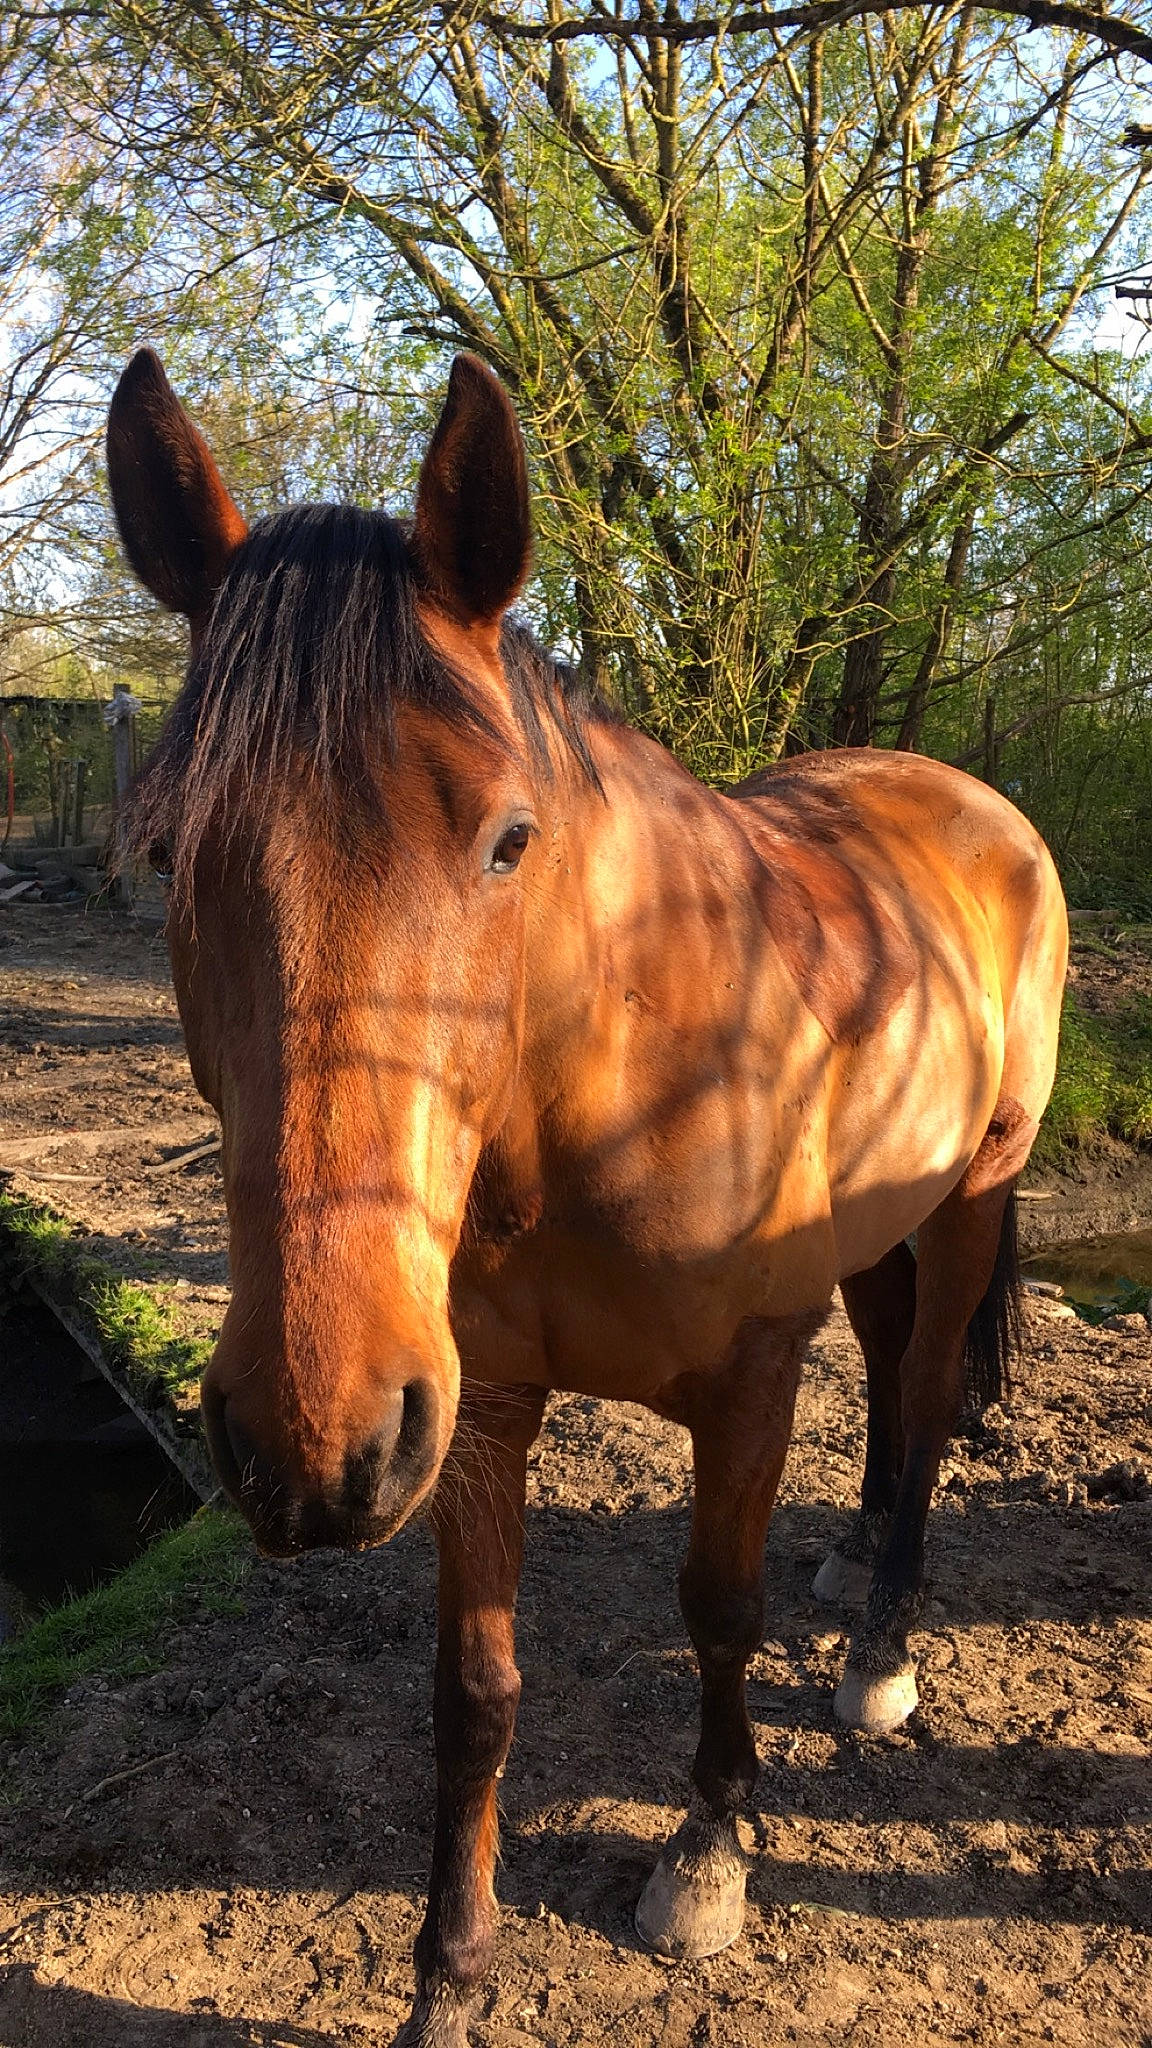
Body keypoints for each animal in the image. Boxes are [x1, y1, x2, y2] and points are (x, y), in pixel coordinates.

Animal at [106, 347, 1068, 2047]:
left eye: (506, 840)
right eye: (167, 855)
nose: (305, 1442)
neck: (607, 1086)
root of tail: (971, 804)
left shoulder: (752, 1377)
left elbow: (716, 1607)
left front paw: (708, 1856)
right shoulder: (474, 1404)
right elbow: (475, 1691)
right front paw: (451, 1974)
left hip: (971, 1199)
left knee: (928, 1385)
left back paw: (883, 1641)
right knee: (897, 1369)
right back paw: (853, 1562)